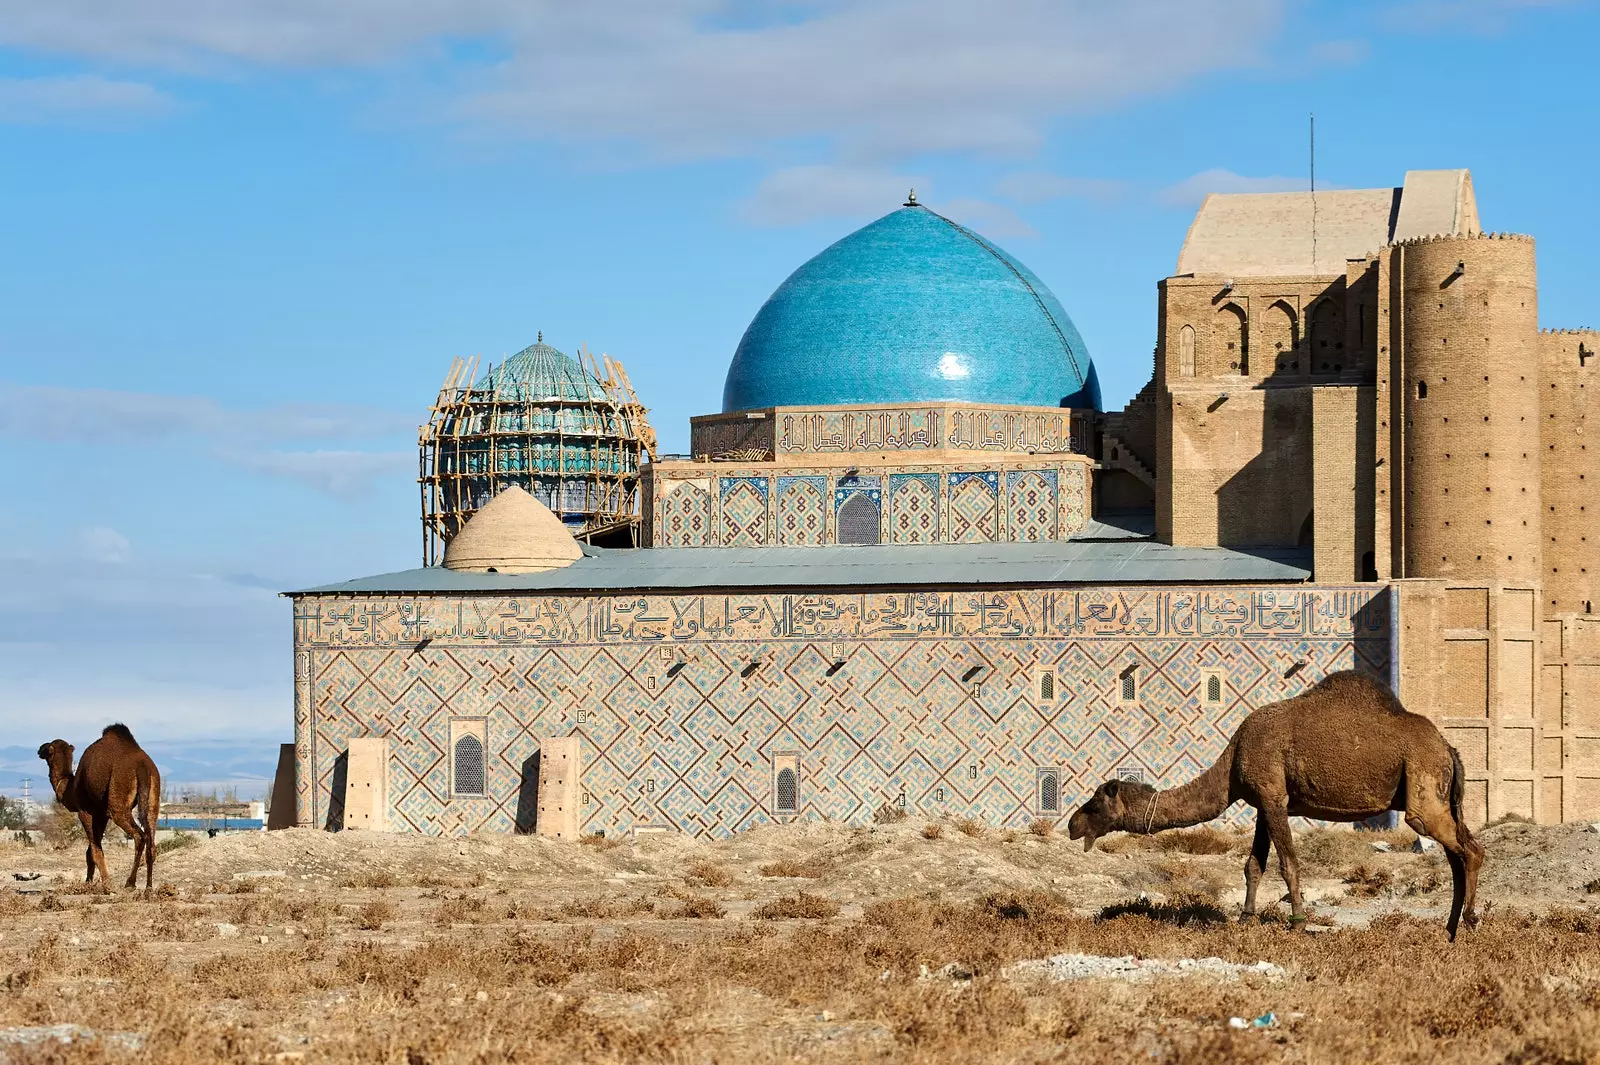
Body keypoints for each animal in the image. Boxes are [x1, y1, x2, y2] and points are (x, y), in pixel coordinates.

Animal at [39, 722, 162, 889]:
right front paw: (88, 882)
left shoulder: (85, 811)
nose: (39, 749)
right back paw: (148, 887)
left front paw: (106, 885)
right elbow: (90, 851)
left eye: (47, 748)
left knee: (140, 836)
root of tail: (142, 766)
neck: (70, 787)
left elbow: (95, 850)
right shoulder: (101, 814)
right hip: (153, 795)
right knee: (151, 840)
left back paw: (130, 883)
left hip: (118, 797)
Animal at [1062, 671, 1484, 940]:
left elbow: (1287, 863)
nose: (1071, 824)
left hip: (1422, 785)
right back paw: (1449, 929)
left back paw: (1469, 921)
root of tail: (1449, 748)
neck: (1232, 762)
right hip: (1438, 793)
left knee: (1469, 850)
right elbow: (1253, 865)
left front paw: (1297, 923)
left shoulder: (1273, 795)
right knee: (1457, 855)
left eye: (1096, 803)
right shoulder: (1263, 803)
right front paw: (1245, 919)